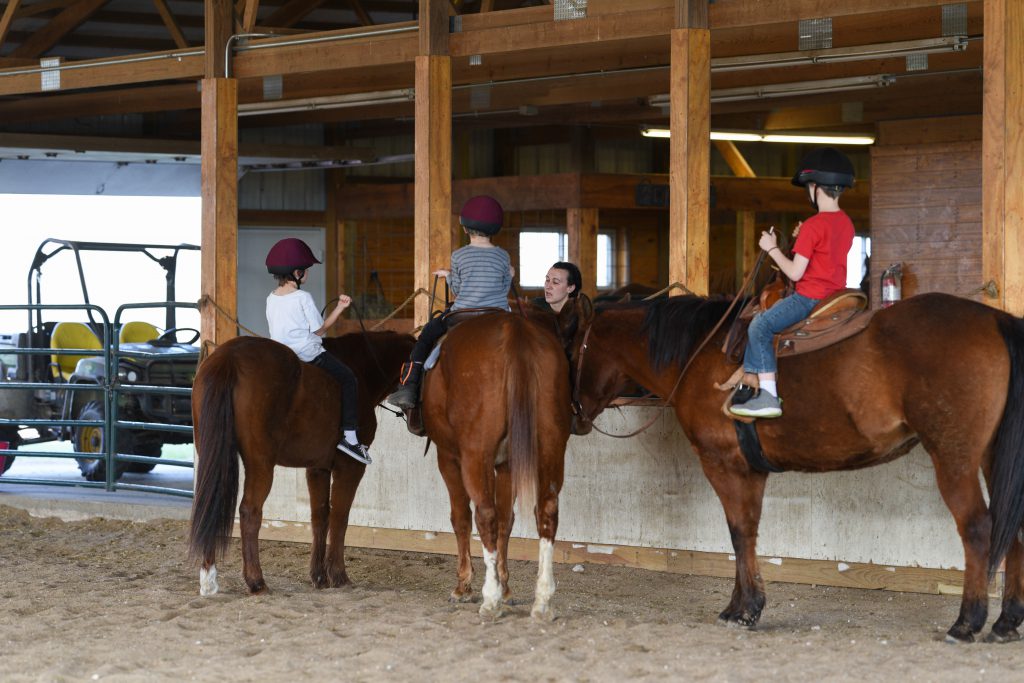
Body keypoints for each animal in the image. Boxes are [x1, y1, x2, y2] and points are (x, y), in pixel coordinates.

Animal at [188, 329, 411, 593]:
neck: (361, 368)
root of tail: (229, 358)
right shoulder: (350, 467)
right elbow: (340, 516)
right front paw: (339, 575)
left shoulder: (317, 467)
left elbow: (320, 516)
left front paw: (319, 576)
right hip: (261, 463)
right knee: (250, 511)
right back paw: (256, 580)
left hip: (213, 453)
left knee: (208, 505)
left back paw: (208, 578)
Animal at [417, 313, 577, 622]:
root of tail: (515, 330)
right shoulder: (507, 464)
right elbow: (507, 520)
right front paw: (506, 589)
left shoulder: (449, 457)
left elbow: (462, 518)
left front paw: (465, 587)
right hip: (552, 448)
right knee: (547, 512)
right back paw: (542, 601)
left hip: (475, 456)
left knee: (485, 515)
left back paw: (489, 600)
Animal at [569, 292, 1024, 643]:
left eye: (572, 351)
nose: (573, 415)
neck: (699, 353)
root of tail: (995, 318)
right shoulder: (751, 470)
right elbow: (749, 532)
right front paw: (744, 604)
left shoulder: (724, 464)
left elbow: (738, 532)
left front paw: (744, 610)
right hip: (991, 456)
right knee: (1013, 529)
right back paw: (1006, 622)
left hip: (953, 457)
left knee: (978, 528)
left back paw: (967, 623)